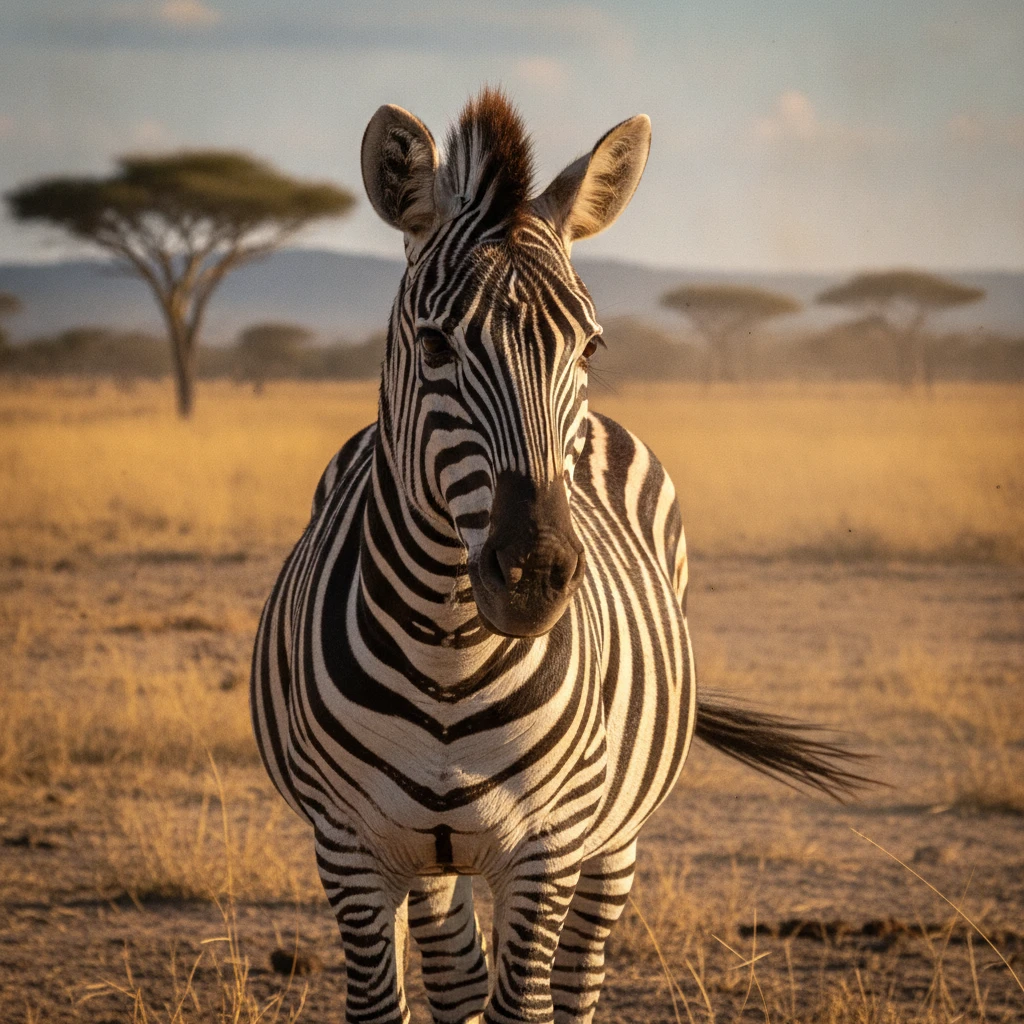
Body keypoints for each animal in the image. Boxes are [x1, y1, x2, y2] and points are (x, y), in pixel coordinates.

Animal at [251, 89, 865, 1024]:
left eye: (591, 347)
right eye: (435, 346)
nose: (534, 575)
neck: (448, 655)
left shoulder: (547, 845)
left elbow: (525, 1004)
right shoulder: (348, 849)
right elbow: (393, 1000)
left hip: (611, 838)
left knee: (573, 980)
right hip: (431, 855)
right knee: (457, 971)